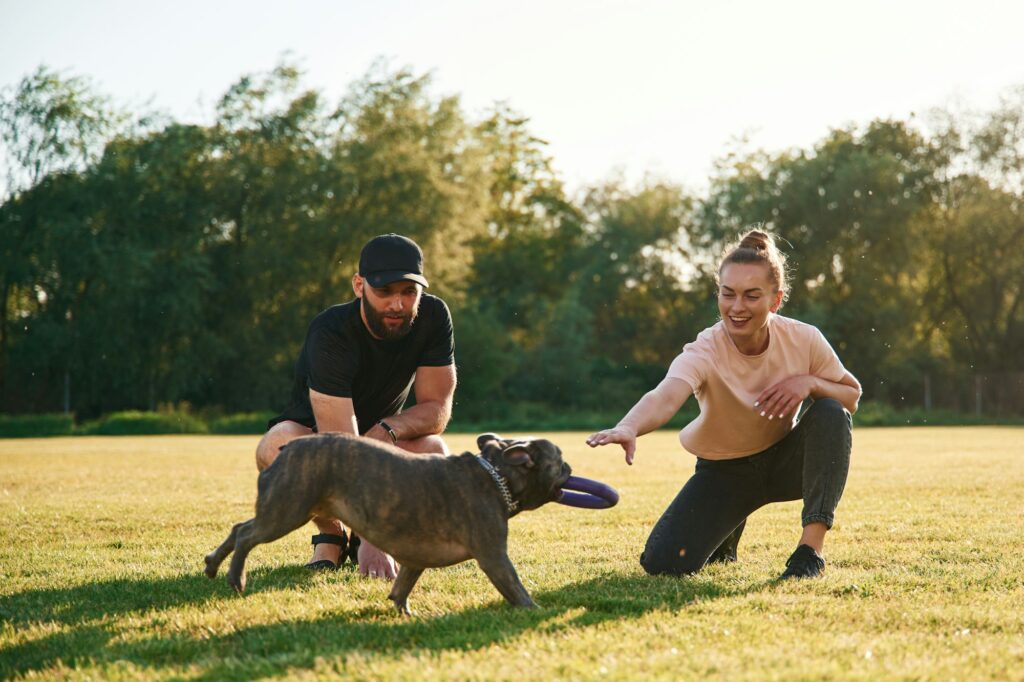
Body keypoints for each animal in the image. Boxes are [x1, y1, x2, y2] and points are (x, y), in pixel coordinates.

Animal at [203, 432, 573, 614]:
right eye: (559, 460)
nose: (570, 467)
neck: (498, 473)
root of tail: (289, 448)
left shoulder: (415, 559)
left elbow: (403, 586)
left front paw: (403, 610)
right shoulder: (494, 557)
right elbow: (514, 585)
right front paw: (533, 609)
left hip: (282, 507)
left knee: (238, 529)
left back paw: (211, 565)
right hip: (287, 511)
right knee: (247, 535)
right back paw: (236, 578)